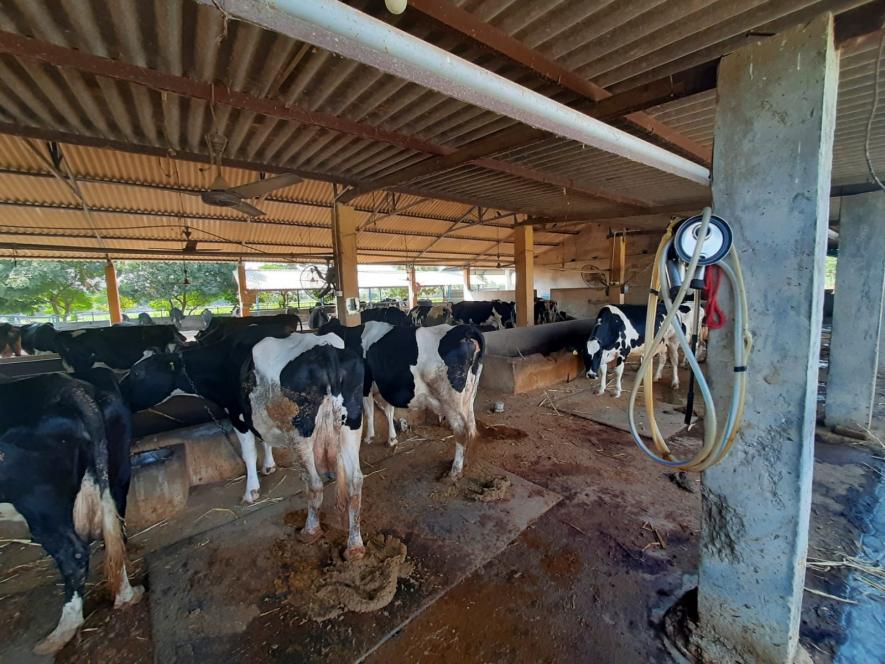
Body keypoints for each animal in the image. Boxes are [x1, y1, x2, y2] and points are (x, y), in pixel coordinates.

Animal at [0, 374, 141, 652]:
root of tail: (69, 387)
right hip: (118, 473)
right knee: (116, 534)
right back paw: (125, 595)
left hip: (40, 501)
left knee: (73, 553)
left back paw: (62, 631)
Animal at [121, 330, 366, 556]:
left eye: (137, 372)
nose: (121, 397)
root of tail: (327, 350)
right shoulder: (256, 415)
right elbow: (264, 441)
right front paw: (269, 466)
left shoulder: (237, 416)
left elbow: (249, 454)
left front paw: (251, 491)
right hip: (352, 422)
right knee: (355, 481)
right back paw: (355, 545)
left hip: (300, 431)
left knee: (314, 484)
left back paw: (310, 530)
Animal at [318, 320, 484, 480]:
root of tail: (465, 330)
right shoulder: (386, 387)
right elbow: (389, 411)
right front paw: (392, 439)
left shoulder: (365, 386)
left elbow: (369, 412)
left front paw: (369, 437)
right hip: (469, 398)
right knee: (471, 428)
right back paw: (465, 463)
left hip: (452, 402)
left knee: (462, 432)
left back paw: (455, 471)